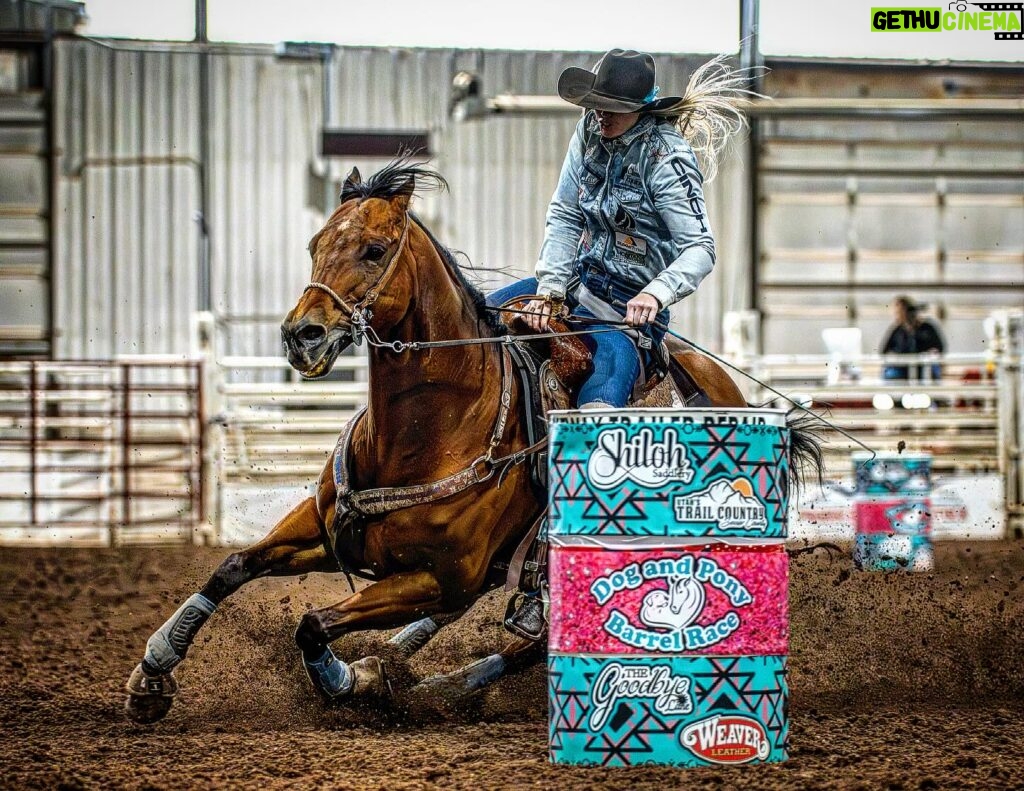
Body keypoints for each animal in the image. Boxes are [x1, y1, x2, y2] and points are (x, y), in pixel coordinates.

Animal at [123, 158, 819, 721]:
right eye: (316, 243)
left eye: (374, 249)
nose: (303, 336)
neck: (426, 432)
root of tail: (731, 395)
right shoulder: (325, 531)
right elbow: (232, 568)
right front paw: (151, 674)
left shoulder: (444, 576)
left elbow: (315, 624)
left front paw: (351, 681)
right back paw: (395, 663)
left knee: (529, 647)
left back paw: (420, 685)